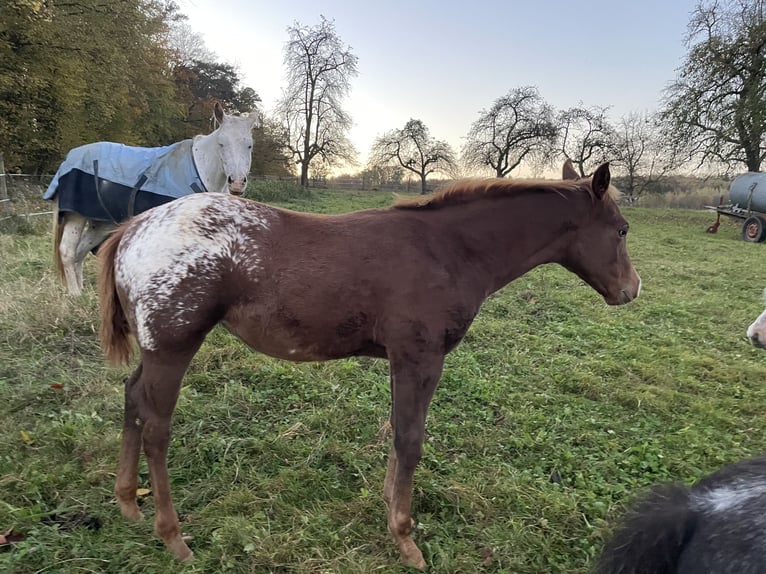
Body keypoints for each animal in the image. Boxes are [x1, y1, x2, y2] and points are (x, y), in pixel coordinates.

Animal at [47, 104, 260, 300]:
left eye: (249, 145)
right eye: (221, 144)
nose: (237, 183)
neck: (200, 171)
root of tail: (68, 161)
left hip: (100, 223)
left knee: (79, 252)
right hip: (76, 216)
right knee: (67, 251)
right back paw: (75, 295)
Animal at [100, 160, 640, 568]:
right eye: (621, 229)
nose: (631, 290)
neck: (449, 250)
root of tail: (133, 228)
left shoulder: (401, 359)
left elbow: (398, 432)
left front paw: (387, 506)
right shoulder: (420, 357)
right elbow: (411, 439)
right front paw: (404, 537)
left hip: (155, 349)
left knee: (132, 399)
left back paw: (127, 502)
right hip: (173, 347)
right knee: (157, 428)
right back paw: (172, 537)